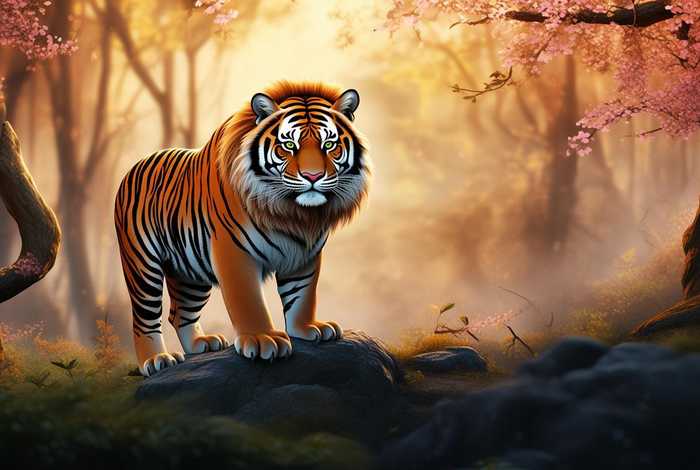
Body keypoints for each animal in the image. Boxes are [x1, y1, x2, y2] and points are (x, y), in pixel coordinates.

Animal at [114, 81, 370, 376]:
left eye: (329, 144)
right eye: (288, 145)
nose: (313, 177)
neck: (295, 215)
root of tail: (137, 164)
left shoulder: (305, 254)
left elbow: (302, 294)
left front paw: (307, 328)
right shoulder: (233, 251)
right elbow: (248, 301)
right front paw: (263, 339)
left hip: (190, 274)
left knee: (180, 313)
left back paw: (202, 343)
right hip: (143, 266)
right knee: (144, 319)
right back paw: (157, 360)